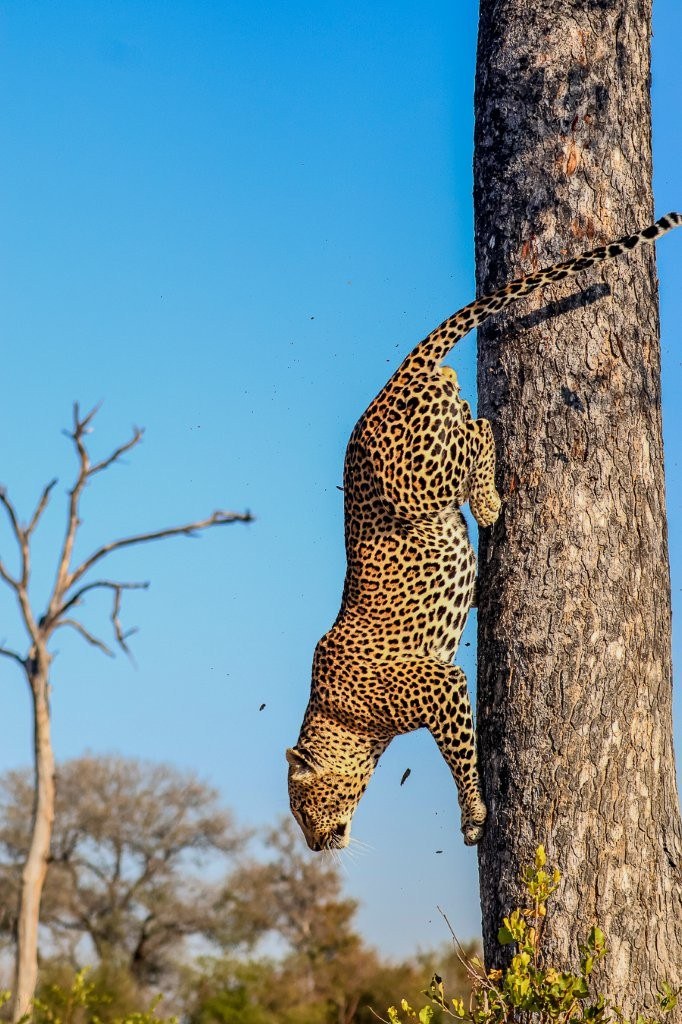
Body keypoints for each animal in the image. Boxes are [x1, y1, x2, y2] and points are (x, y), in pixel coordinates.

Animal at [287, 212, 682, 852]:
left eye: (301, 807)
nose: (314, 847)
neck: (340, 720)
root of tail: (389, 384)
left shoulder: (441, 685)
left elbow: (460, 756)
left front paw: (473, 814)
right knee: (470, 413)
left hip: (419, 479)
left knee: (481, 427)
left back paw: (491, 500)